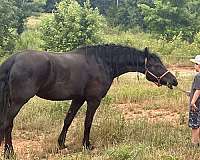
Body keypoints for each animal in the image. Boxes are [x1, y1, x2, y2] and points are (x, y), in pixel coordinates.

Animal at [0, 43, 178, 156]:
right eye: (156, 66)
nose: (174, 81)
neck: (101, 62)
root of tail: (13, 60)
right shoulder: (93, 100)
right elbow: (88, 122)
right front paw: (86, 145)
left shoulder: (78, 99)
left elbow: (68, 120)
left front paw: (61, 144)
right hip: (18, 102)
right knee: (7, 123)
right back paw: (9, 152)